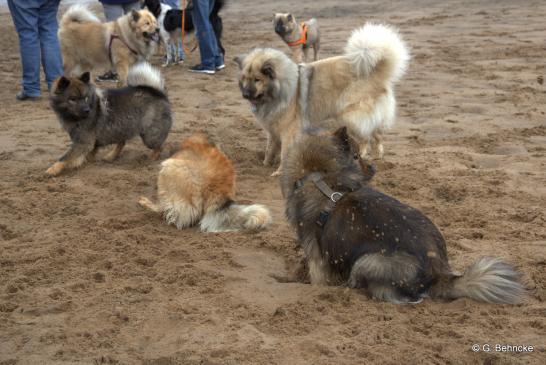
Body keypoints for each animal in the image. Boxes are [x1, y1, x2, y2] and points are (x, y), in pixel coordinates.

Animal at [280, 126, 524, 302]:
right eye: (357, 156)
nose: (374, 168)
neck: (320, 176)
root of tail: (440, 272)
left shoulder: (316, 256)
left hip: (367, 261)